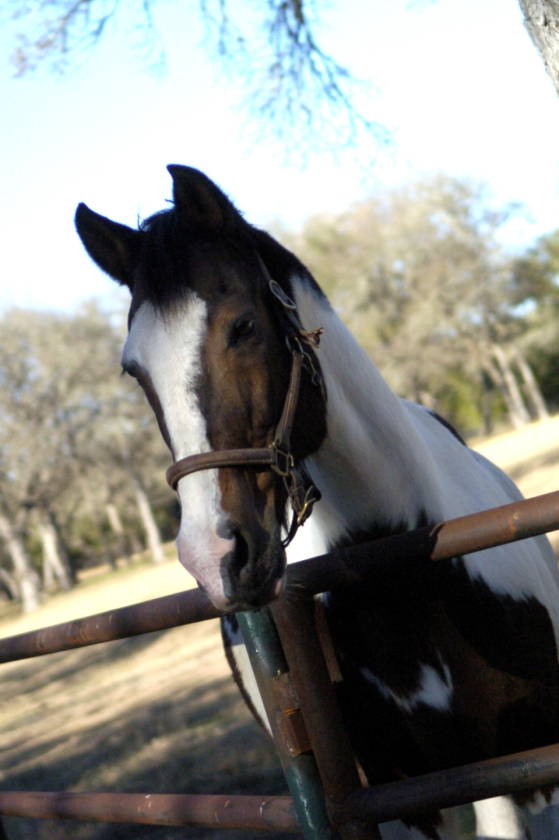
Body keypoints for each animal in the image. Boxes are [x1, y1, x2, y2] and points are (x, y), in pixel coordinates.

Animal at [75, 165, 559, 839]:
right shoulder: (403, 797)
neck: (392, 559)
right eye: (133, 369)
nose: (213, 556)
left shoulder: (511, 775)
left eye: (243, 327)